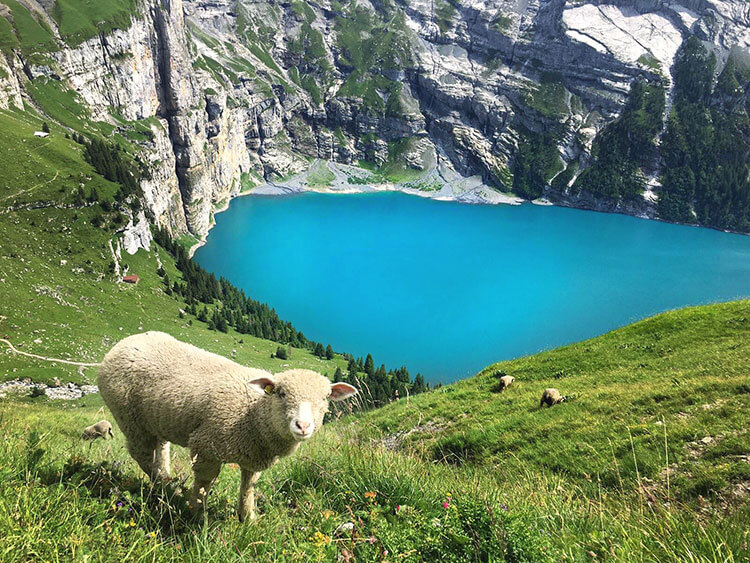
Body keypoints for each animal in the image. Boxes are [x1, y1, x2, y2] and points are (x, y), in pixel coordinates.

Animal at [97, 332, 358, 524]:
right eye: (281, 393)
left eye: (325, 397)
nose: (302, 426)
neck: (254, 413)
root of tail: (124, 342)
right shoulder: (206, 447)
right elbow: (204, 484)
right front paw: (198, 516)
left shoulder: (253, 456)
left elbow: (248, 486)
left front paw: (247, 517)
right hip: (129, 417)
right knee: (141, 455)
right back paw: (167, 488)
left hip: (155, 418)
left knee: (160, 449)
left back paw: (167, 479)